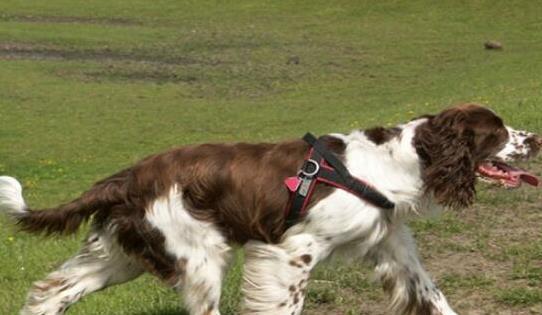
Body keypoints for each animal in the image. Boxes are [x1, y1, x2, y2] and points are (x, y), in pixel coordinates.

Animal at [0, 105, 540, 315]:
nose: (535, 139)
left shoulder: (395, 249)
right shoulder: (290, 251)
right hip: (200, 260)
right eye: (496, 132)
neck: (393, 163)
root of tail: (127, 176)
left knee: (52, 292)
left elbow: (435, 297)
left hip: (122, 255)